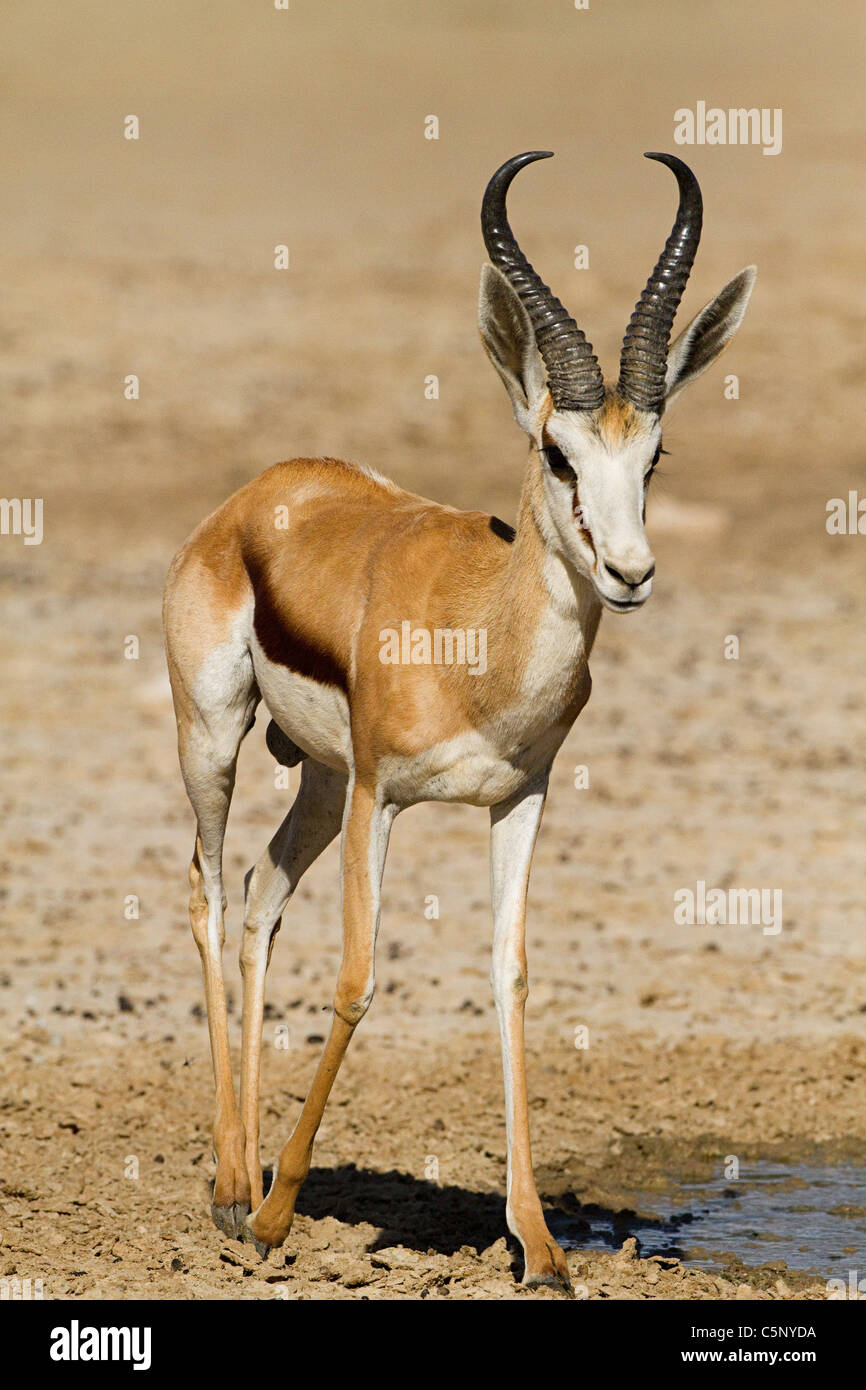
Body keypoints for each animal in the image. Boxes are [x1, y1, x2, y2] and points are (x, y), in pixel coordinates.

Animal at [163, 150, 755, 1293]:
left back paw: (245, 1175)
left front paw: (538, 1244)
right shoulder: (383, 797)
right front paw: (278, 1220)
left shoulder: (516, 800)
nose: (630, 573)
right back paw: (231, 1192)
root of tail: (257, 496)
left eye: (655, 457)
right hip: (217, 738)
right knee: (209, 894)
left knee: (259, 894)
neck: (474, 643)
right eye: (557, 452)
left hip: (316, 779)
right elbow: (357, 979)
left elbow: (511, 977)